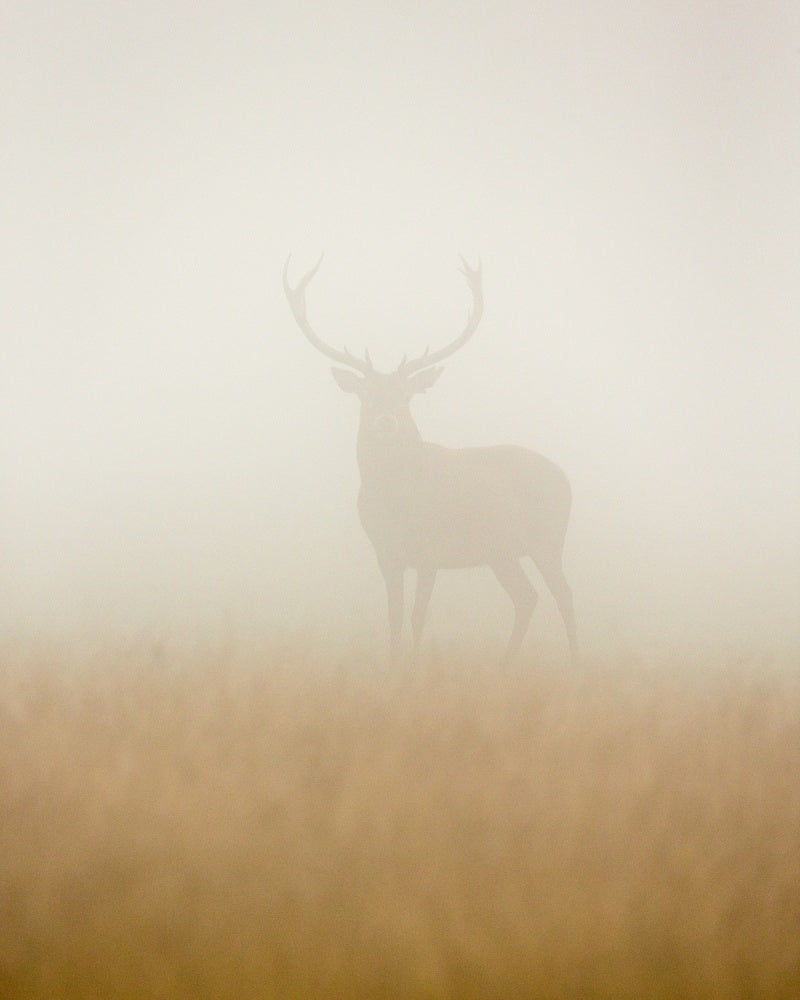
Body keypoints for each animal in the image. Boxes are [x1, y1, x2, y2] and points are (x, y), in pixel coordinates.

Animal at [282, 255, 578, 666]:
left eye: (407, 396)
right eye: (366, 395)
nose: (386, 421)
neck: (395, 501)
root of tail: (566, 479)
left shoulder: (431, 549)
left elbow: (417, 615)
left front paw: (415, 667)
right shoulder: (385, 552)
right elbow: (393, 616)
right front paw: (393, 667)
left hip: (548, 536)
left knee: (563, 594)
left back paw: (576, 662)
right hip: (501, 552)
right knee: (526, 597)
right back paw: (505, 665)